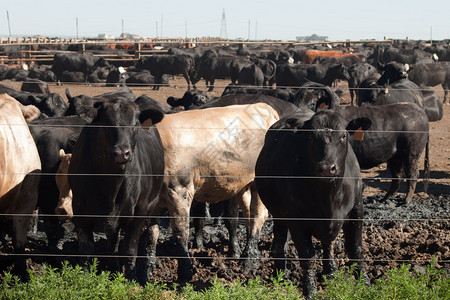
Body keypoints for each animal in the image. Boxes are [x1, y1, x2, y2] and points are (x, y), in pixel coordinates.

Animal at [70, 98, 167, 284]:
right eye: (107, 123)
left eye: (135, 124)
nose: (122, 153)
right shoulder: (79, 207)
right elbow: (86, 247)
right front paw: (83, 276)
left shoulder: (140, 211)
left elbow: (130, 248)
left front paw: (131, 278)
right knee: (112, 240)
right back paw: (113, 267)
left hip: (152, 205)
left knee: (146, 235)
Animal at [255, 109, 370, 296]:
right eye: (310, 137)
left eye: (343, 135)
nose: (327, 168)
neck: (328, 197)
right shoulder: (295, 219)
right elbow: (307, 256)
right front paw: (310, 289)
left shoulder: (356, 209)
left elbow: (355, 248)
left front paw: (365, 282)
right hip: (279, 215)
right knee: (279, 244)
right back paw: (281, 277)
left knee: (328, 244)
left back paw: (331, 273)